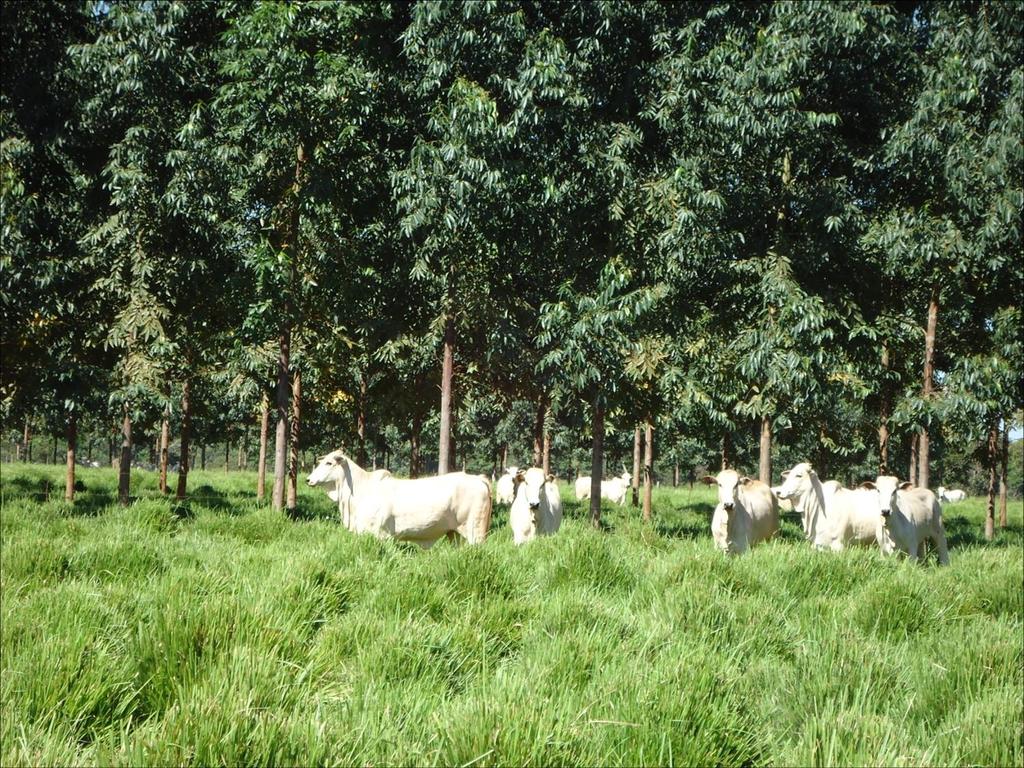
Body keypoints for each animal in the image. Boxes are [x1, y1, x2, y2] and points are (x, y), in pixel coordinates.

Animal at [307, 450, 491, 548]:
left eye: (329, 463)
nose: (308, 479)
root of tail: (478, 479)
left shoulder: (378, 534)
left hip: (476, 533)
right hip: (455, 534)